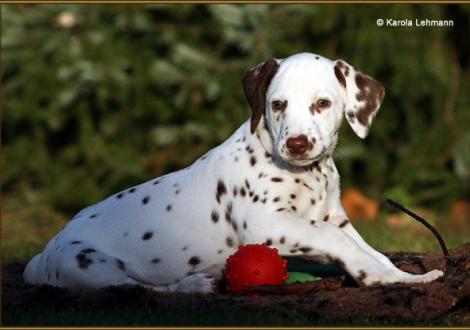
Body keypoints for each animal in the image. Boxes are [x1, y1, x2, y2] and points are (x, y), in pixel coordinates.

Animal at [23, 52, 444, 292]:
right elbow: (336, 242)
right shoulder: (268, 223)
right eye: (277, 104)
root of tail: (42, 256)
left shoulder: (335, 217)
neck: (308, 175)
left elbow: (373, 252)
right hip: (88, 265)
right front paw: (377, 279)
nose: (297, 144)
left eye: (323, 104)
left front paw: (408, 278)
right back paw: (192, 285)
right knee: (137, 290)